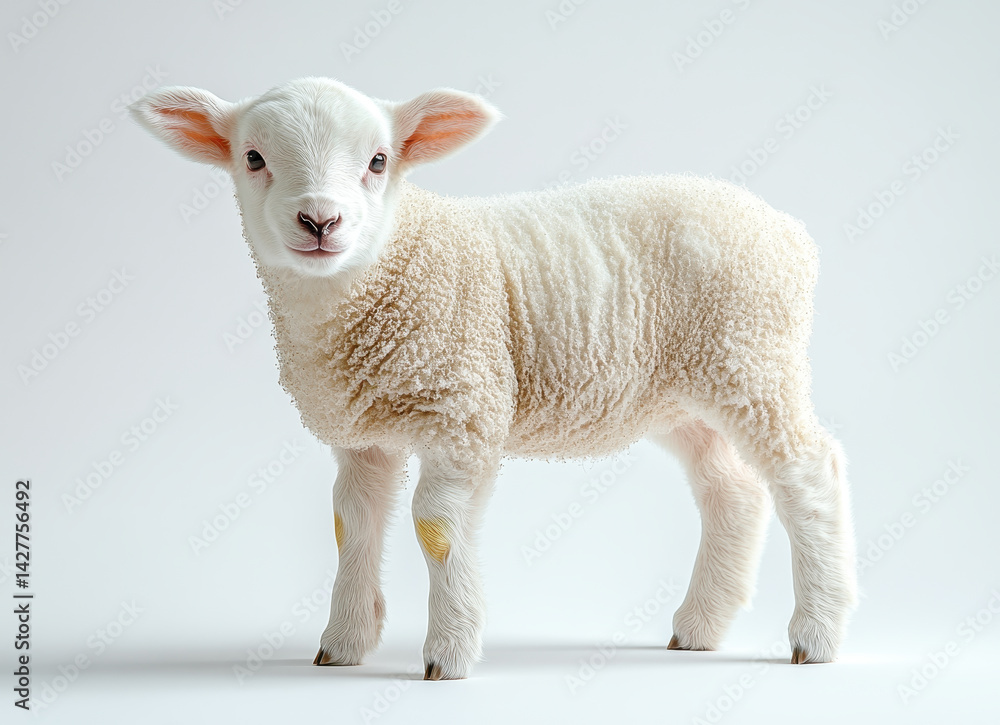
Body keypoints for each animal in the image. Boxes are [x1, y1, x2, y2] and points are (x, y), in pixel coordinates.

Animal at [131, 77, 857, 680]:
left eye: (378, 161)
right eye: (252, 158)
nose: (319, 221)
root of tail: (790, 233)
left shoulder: (464, 409)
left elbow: (435, 525)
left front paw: (448, 654)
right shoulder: (363, 435)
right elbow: (351, 523)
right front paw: (343, 643)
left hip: (755, 362)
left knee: (809, 473)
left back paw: (817, 634)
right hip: (685, 393)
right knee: (730, 491)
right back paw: (700, 627)